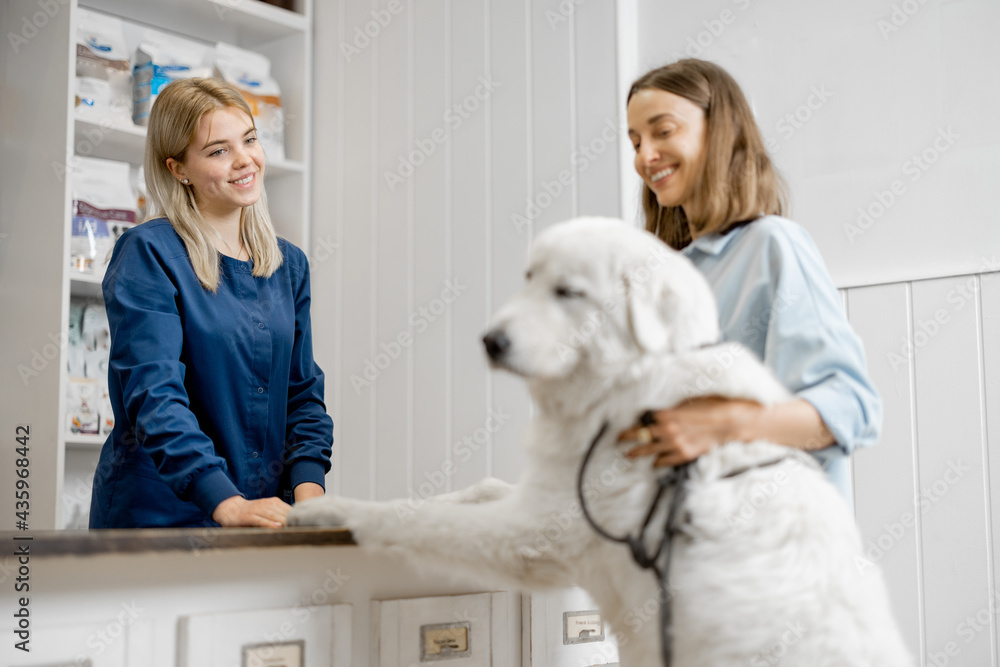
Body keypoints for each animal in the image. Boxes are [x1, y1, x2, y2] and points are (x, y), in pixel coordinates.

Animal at [292, 217, 916, 664]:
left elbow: (412, 519)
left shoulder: (531, 534)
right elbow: (473, 490)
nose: (490, 341)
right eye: (528, 279)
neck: (629, 384)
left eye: (569, 292)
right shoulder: (545, 494)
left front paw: (330, 511)